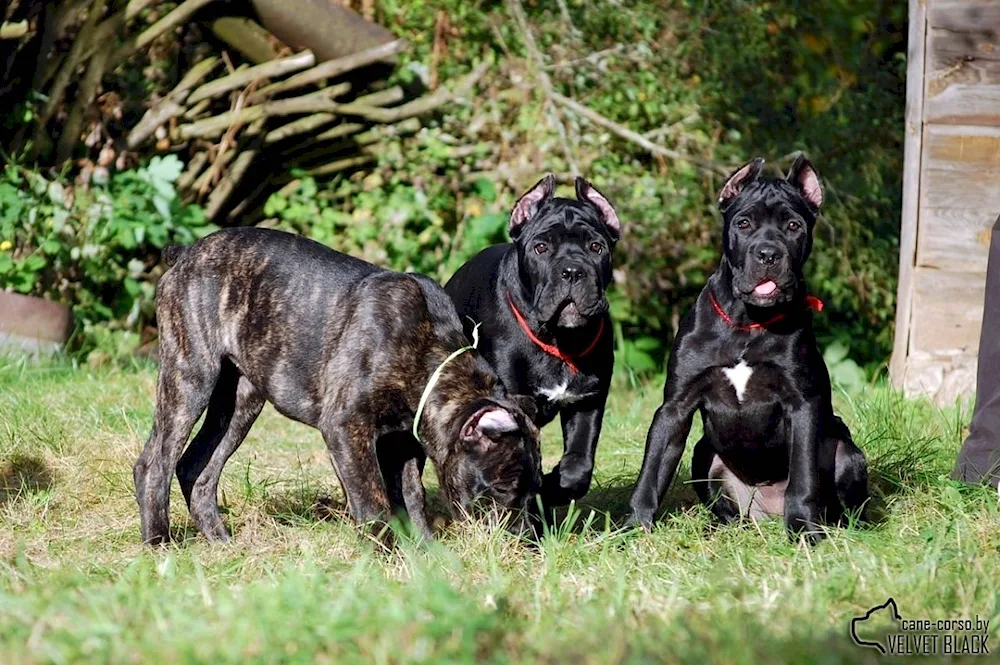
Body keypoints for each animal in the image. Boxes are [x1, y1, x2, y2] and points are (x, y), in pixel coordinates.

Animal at [444, 174, 616, 506]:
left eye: (596, 247)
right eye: (540, 248)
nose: (572, 271)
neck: (559, 338)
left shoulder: (587, 401)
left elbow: (578, 464)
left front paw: (553, 485)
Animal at [628, 157, 872, 544]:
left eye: (793, 226)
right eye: (744, 223)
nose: (768, 254)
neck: (748, 321)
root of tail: (763, 513)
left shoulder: (802, 405)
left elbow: (803, 478)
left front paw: (803, 530)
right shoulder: (675, 407)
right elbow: (651, 473)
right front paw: (633, 527)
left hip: (845, 452)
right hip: (704, 453)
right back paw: (716, 527)